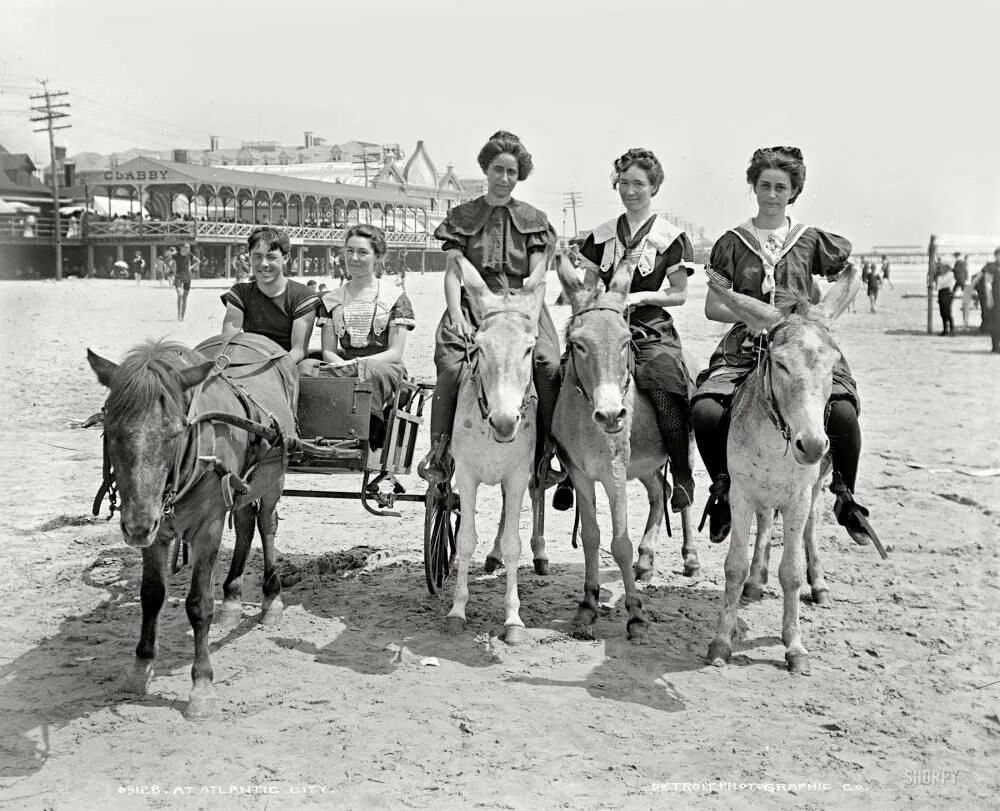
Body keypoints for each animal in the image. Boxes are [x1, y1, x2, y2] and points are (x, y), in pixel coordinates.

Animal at [88, 336, 296, 724]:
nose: (136, 526)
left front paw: (201, 686)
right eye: (111, 431)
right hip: (240, 488)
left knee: (266, 524)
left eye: (174, 433)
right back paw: (232, 600)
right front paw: (140, 669)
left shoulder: (207, 528)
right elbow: (151, 595)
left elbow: (199, 605)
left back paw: (271, 599)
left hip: (274, 479)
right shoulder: (157, 531)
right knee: (244, 524)